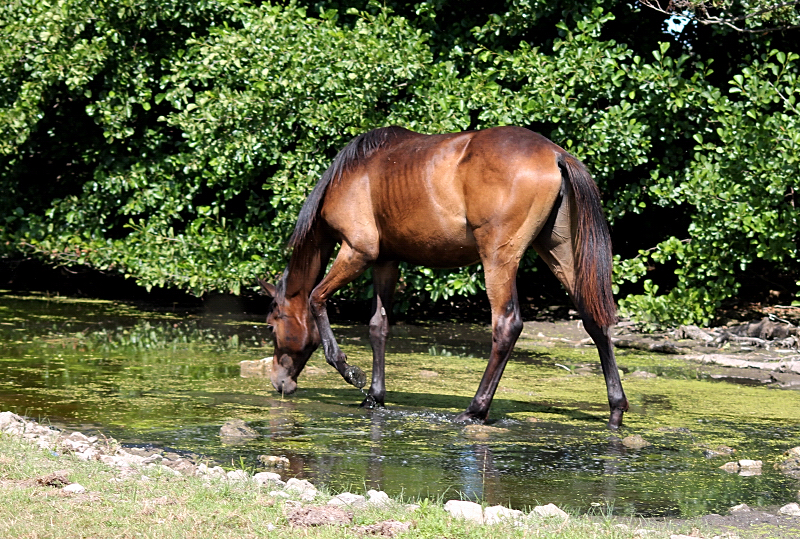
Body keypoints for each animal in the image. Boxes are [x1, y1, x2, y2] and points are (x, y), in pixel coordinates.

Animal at [260, 125, 628, 430]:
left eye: (272, 325)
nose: (279, 382)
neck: (353, 174)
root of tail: (555, 154)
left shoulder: (357, 251)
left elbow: (316, 298)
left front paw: (352, 372)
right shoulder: (386, 261)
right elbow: (378, 326)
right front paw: (374, 397)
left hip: (498, 257)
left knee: (506, 325)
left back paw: (475, 409)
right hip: (559, 253)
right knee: (594, 320)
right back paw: (616, 409)